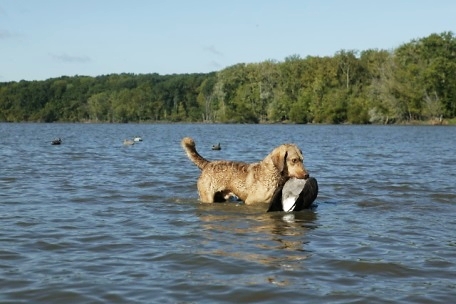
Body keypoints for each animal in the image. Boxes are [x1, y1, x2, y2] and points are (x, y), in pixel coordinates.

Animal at [182, 137, 310, 204]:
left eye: (302, 160)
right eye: (294, 160)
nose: (307, 175)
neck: (273, 174)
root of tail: (207, 164)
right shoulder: (252, 201)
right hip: (207, 197)